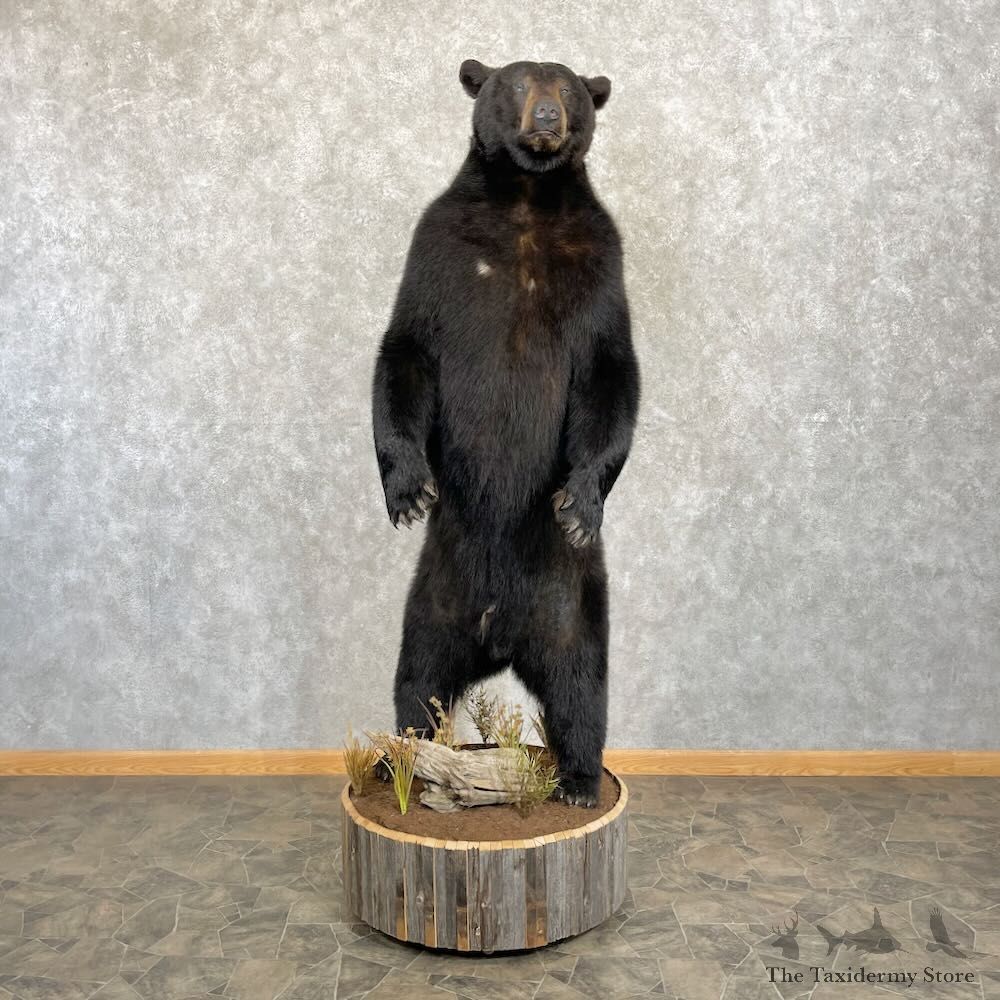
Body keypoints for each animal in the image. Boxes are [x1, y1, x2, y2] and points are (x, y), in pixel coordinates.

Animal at [371, 59, 640, 806]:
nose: (547, 117)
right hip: (432, 602)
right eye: (518, 84)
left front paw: (580, 502)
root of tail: (499, 637)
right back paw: (403, 764)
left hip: (571, 606)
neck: (525, 202)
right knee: (417, 681)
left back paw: (578, 781)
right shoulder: (438, 249)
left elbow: (611, 374)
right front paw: (407, 490)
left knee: (582, 690)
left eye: (569, 87)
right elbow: (405, 350)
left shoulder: (600, 264)